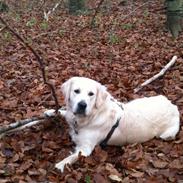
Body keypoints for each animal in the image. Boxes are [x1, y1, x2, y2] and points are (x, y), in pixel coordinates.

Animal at [44, 76, 180, 172]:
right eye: (76, 91)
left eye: (91, 94)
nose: (82, 105)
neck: (91, 116)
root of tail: (173, 106)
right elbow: (63, 113)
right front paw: (50, 112)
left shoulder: (86, 149)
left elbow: (70, 158)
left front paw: (59, 166)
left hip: (167, 134)